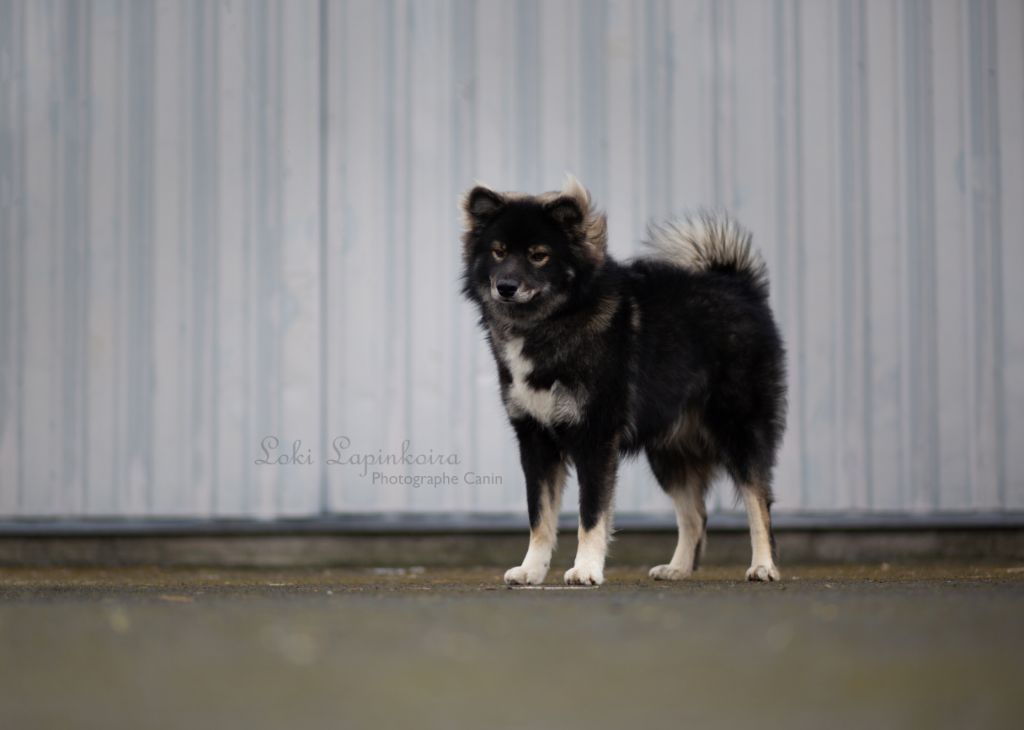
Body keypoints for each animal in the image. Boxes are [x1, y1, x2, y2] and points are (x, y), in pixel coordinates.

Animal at [460, 176, 786, 586]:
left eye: (539, 255)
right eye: (499, 252)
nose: (505, 286)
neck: (552, 322)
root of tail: (739, 285)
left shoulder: (595, 438)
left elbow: (591, 515)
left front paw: (586, 569)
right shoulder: (535, 440)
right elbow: (540, 517)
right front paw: (531, 570)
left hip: (739, 430)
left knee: (759, 500)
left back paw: (764, 565)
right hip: (669, 451)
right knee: (695, 514)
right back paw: (678, 568)